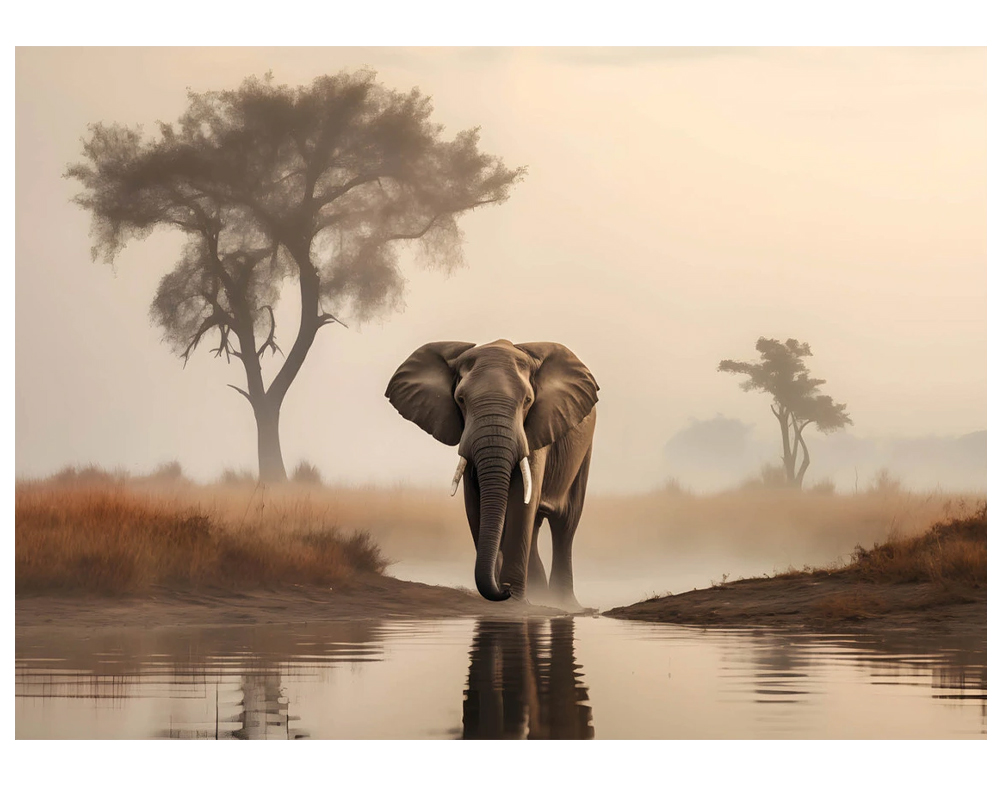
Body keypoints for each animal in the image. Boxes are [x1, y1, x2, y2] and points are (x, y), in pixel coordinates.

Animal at [385, 339, 599, 608]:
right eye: (461, 399)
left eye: (527, 400)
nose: (503, 589)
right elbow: (474, 502)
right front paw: (507, 596)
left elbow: (521, 502)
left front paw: (514, 600)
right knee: (537, 525)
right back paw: (539, 595)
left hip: (584, 449)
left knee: (565, 524)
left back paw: (562, 603)